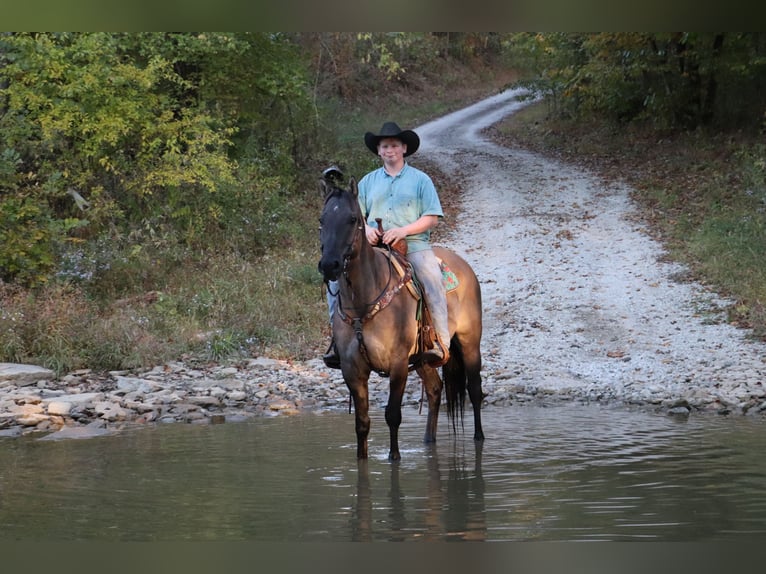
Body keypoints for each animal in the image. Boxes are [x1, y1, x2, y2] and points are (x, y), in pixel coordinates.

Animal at [318, 171, 486, 464]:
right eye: (322, 220)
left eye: (352, 219)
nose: (329, 265)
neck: (363, 303)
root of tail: (464, 265)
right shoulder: (352, 370)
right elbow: (362, 424)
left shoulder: (397, 364)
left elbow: (392, 415)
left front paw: (394, 458)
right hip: (422, 359)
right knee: (435, 389)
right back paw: (428, 441)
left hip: (469, 343)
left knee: (474, 390)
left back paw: (479, 438)